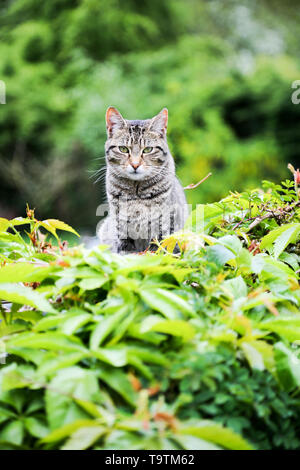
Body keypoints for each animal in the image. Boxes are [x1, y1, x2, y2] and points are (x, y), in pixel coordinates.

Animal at [98, 107, 188, 253]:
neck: (136, 191)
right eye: (123, 149)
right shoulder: (121, 226)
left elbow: (158, 248)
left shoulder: (163, 224)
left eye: (147, 150)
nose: (135, 165)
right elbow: (125, 250)